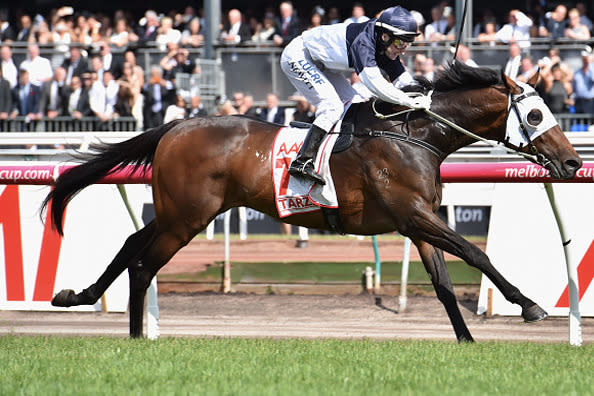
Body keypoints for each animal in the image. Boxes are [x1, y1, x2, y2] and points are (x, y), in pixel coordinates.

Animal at [45, 62, 580, 340]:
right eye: (536, 114)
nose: (574, 163)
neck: (415, 135)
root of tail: (175, 126)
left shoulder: (417, 223)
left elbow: (446, 285)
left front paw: (467, 341)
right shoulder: (414, 215)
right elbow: (475, 251)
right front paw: (530, 305)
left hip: (181, 212)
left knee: (131, 241)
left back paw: (78, 296)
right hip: (187, 218)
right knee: (143, 264)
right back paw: (138, 337)